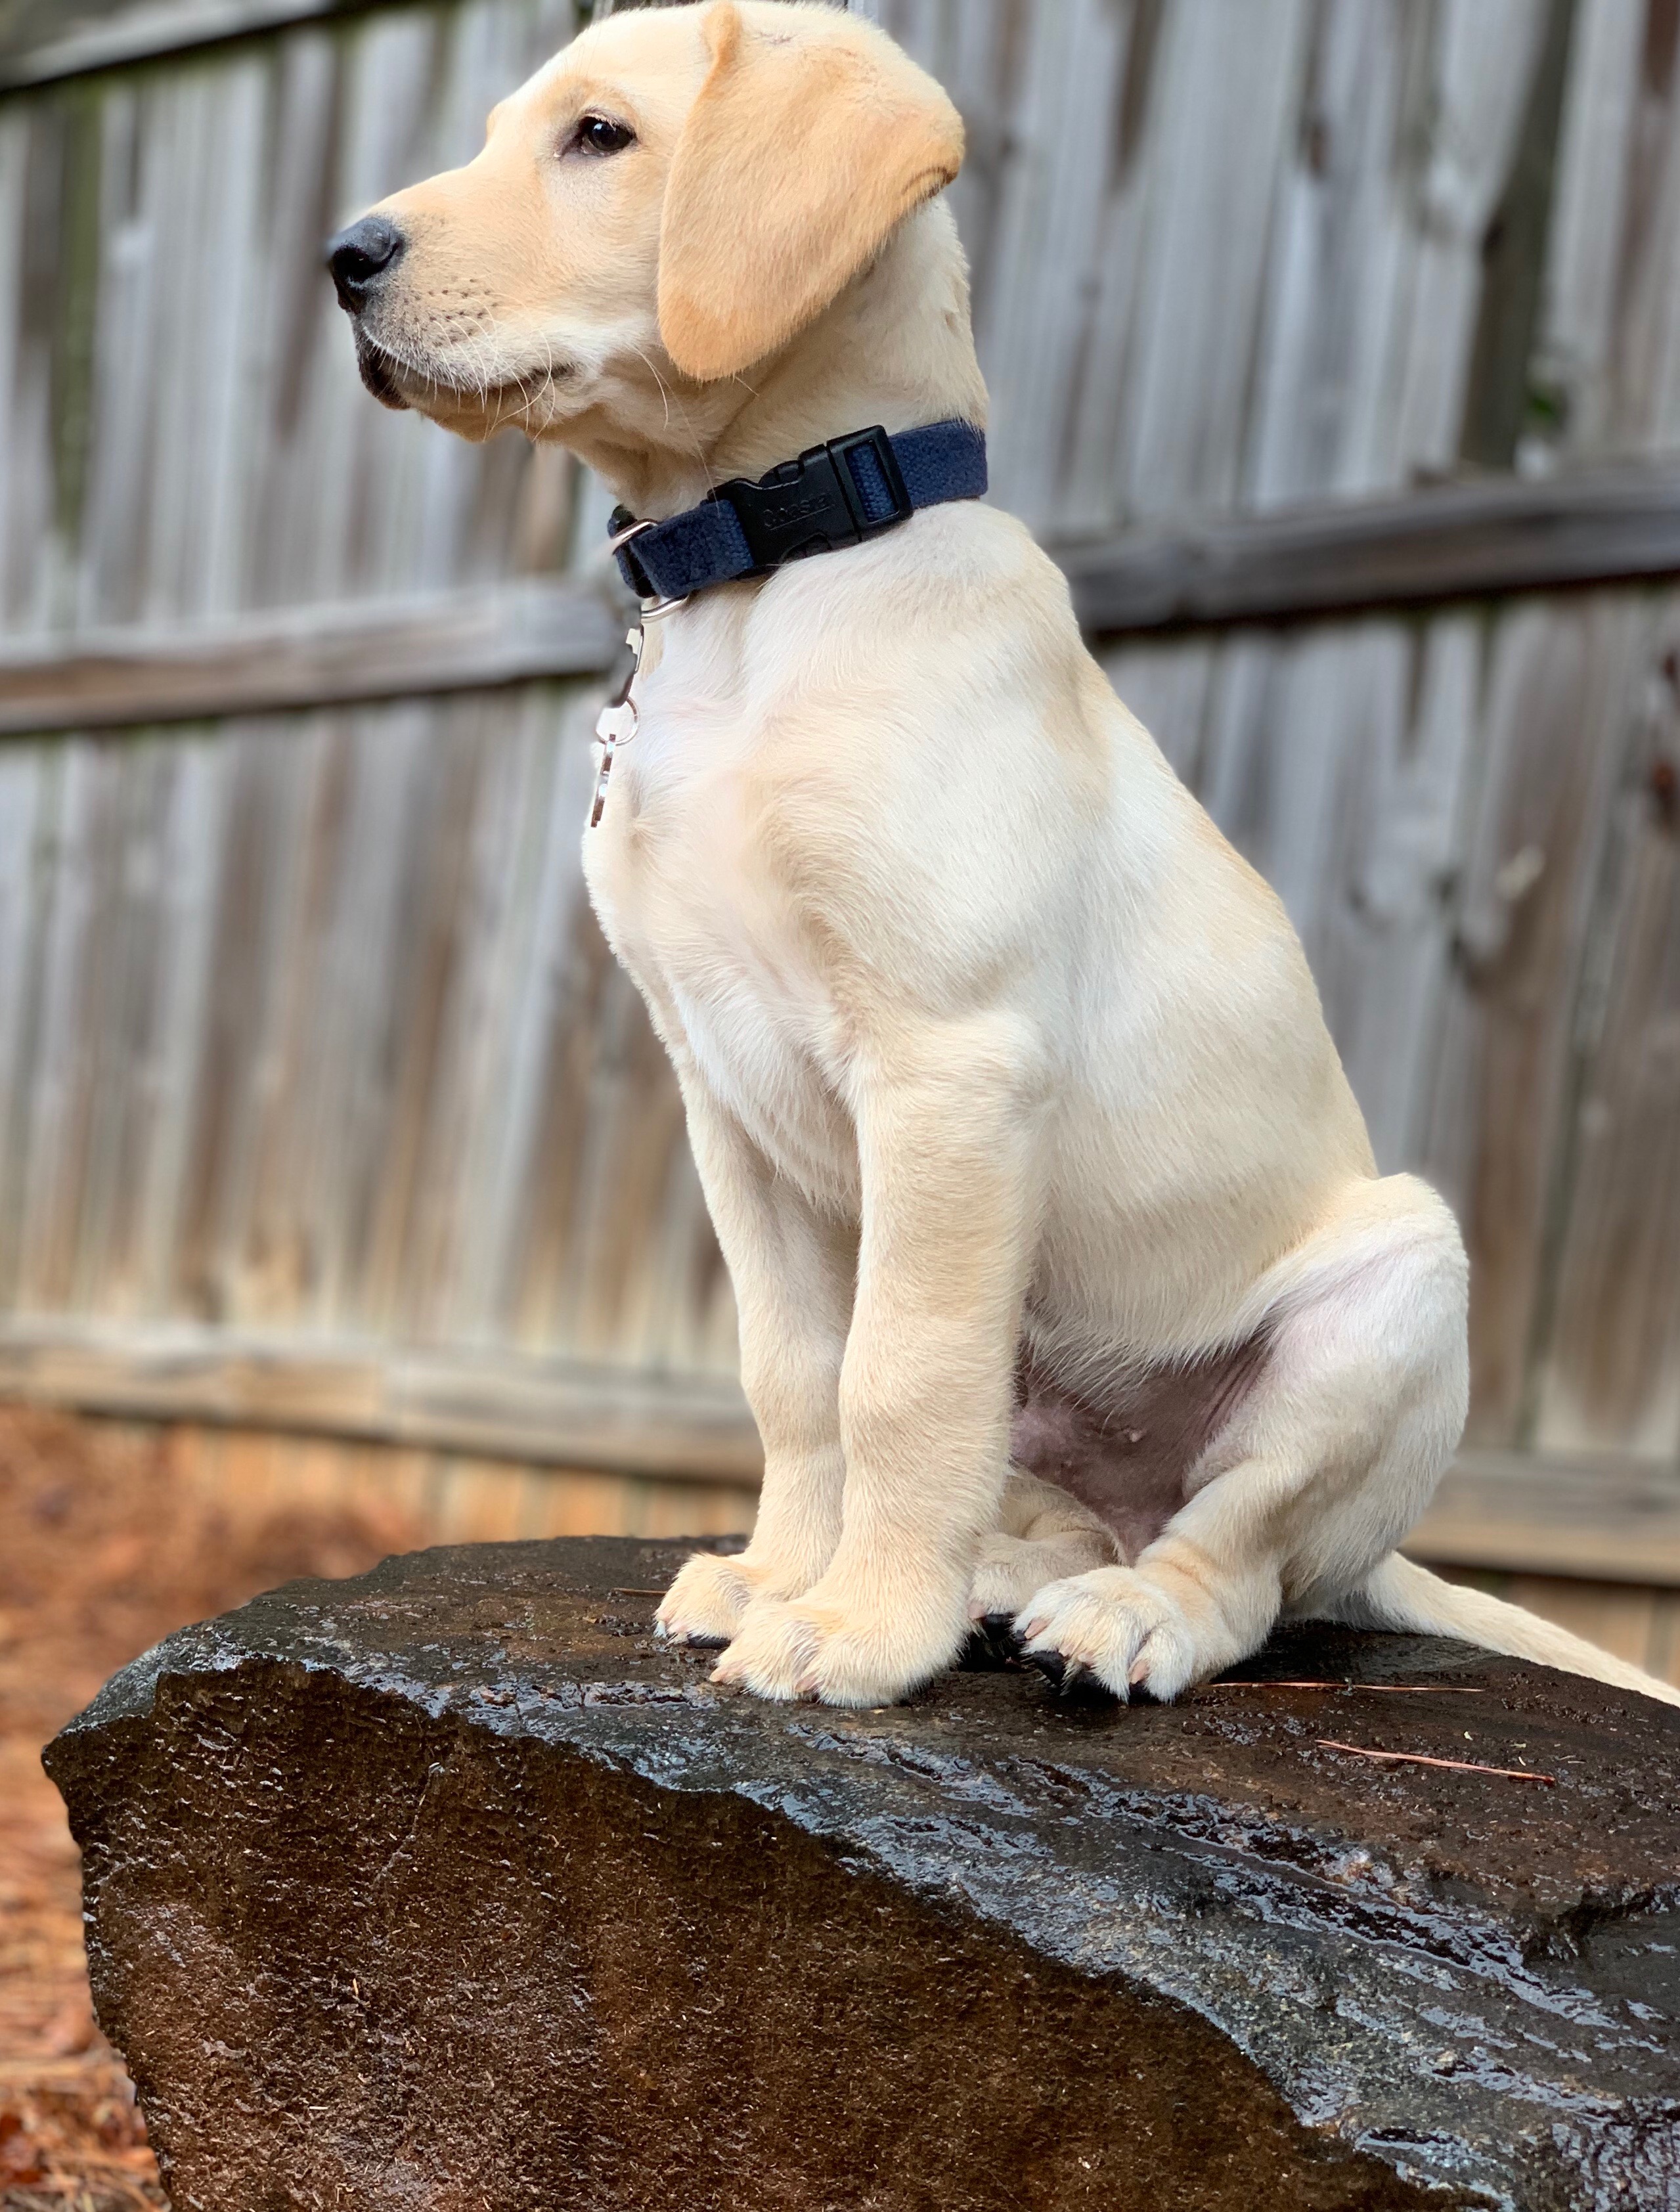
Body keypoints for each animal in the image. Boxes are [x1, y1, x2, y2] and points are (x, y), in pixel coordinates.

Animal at [327, 0, 1680, 1708]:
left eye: (599, 136)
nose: (343, 256)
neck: (769, 575)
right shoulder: (719, 1091)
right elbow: (795, 1371)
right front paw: (779, 1574)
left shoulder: (946, 1066)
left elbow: (897, 1378)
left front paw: (853, 1627)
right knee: (1072, 1510)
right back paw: (1002, 1577)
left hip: (1394, 1289)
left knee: (1239, 1562)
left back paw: (1119, 1619)